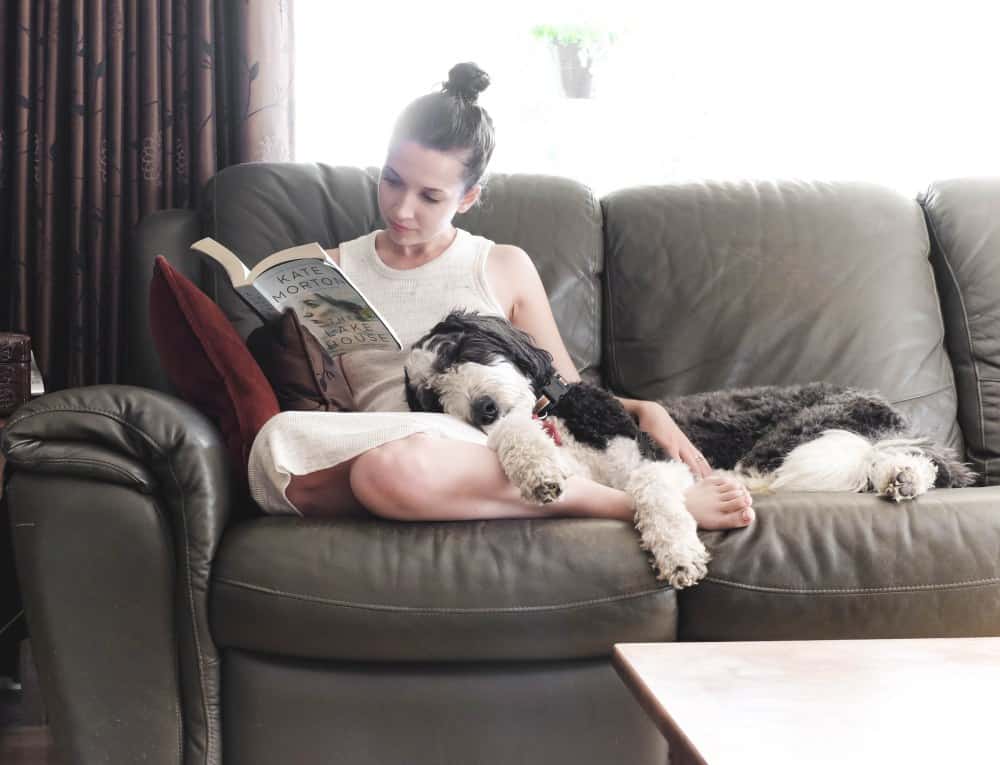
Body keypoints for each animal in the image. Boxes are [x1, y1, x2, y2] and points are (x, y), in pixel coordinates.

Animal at [402, 308, 972, 584]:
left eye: (460, 350)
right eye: (430, 395)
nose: (481, 409)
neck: (557, 426)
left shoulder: (652, 456)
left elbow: (654, 495)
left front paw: (679, 556)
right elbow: (519, 441)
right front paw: (537, 472)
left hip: (793, 441)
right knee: (897, 463)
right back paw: (904, 478)